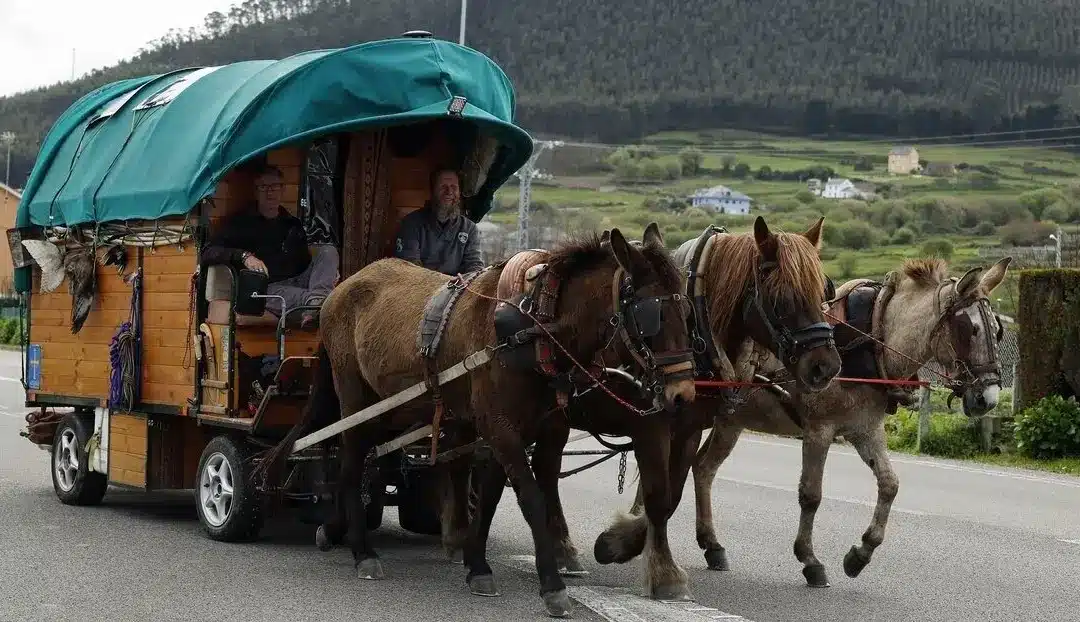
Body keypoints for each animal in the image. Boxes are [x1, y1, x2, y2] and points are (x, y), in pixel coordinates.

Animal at [268, 223, 698, 618]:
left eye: (687, 310)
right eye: (652, 313)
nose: (683, 395)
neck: (533, 327)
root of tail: (344, 286)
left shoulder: (526, 429)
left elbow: (490, 495)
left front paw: (477, 566)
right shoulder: (501, 426)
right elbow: (531, 497)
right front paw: (552, 586)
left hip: (391, 406)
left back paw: (334, 530)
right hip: (355, 397)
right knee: (351, 463)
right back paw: (362, 551)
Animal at [467, 216, 844, 603]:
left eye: (824, 292)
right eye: (782, 299)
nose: (825, 366)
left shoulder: (688, 429)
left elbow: (671, 495)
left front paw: (621, 543)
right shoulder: (650, 427)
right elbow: (658, 496)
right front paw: (658, 570)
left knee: (544, 469)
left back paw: (563, 550)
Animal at [683, 255, 1012, 588]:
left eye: (998, 330)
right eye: (968, 328)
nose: (988, 398)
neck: (871, 339)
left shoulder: (866, 430)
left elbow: (889, 485)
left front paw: (861, 553)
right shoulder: (818, 430)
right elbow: (811, 494)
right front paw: (810, 560)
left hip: (731, 422)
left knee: (704, 468)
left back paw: (712, 545)